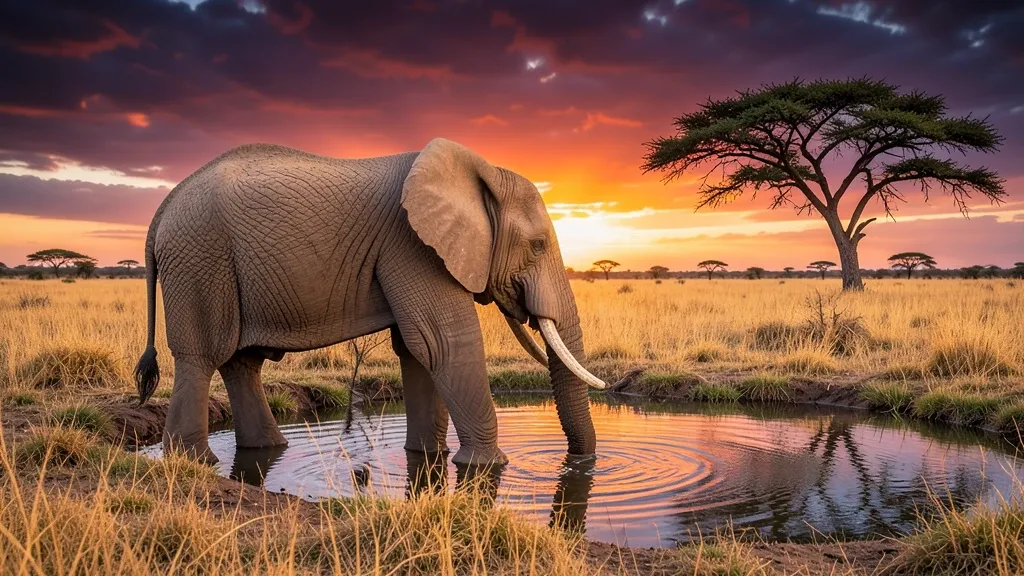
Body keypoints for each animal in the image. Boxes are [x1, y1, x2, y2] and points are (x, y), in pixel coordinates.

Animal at [134, 138, 606, 466]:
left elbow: (417, 350)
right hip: (200, 257)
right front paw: (487, 467)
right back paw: (193, 462)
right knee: (202, 355)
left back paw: (266, 449)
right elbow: (445, 343)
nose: (577, 462)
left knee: (241, 363)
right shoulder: (411, 245)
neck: (480, 172)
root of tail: (164, 207)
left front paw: (426, 457)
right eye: (538, 245)